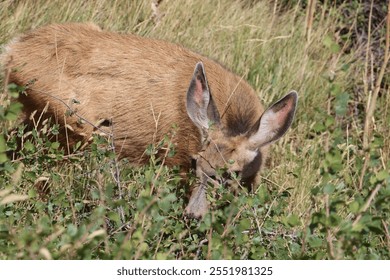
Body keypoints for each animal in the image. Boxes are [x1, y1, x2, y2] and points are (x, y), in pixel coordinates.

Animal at [1, 23, 298, 218]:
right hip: (74, 127)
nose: (194, 214)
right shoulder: (177, 158)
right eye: (196, 163)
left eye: (232, 173)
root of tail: (12, 50)